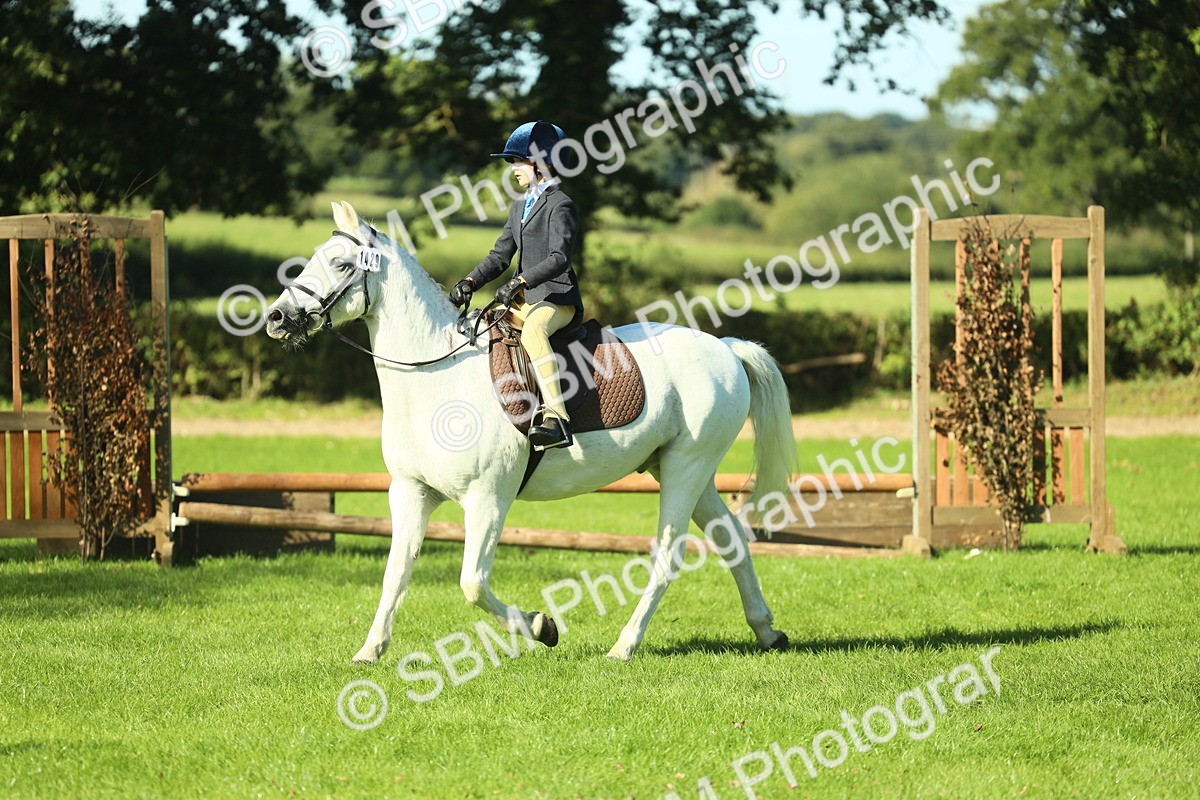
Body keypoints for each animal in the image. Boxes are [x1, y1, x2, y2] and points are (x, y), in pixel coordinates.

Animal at [265, 200, 797, 662]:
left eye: (339, 264)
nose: (275, 318)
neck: (435, 379)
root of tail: (726, 347)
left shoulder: (487, 498)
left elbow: (473, 583)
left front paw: (543, 627)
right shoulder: (410, 491)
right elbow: (396, 572)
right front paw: (370, 651)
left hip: (688, 466)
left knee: (668, 555)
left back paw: (624, 646)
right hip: (678, 468)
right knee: (731, 536)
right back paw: (767, 630)